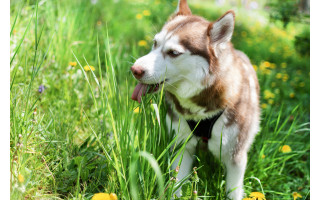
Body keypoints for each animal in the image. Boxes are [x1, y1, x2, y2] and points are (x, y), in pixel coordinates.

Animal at [130, 0, 260, 199]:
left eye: (173, 52)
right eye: (155, 43)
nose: (135, 69)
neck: (200, 110)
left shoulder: (235, 156)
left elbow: (233, 190)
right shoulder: (181, 145)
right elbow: (176, 183)